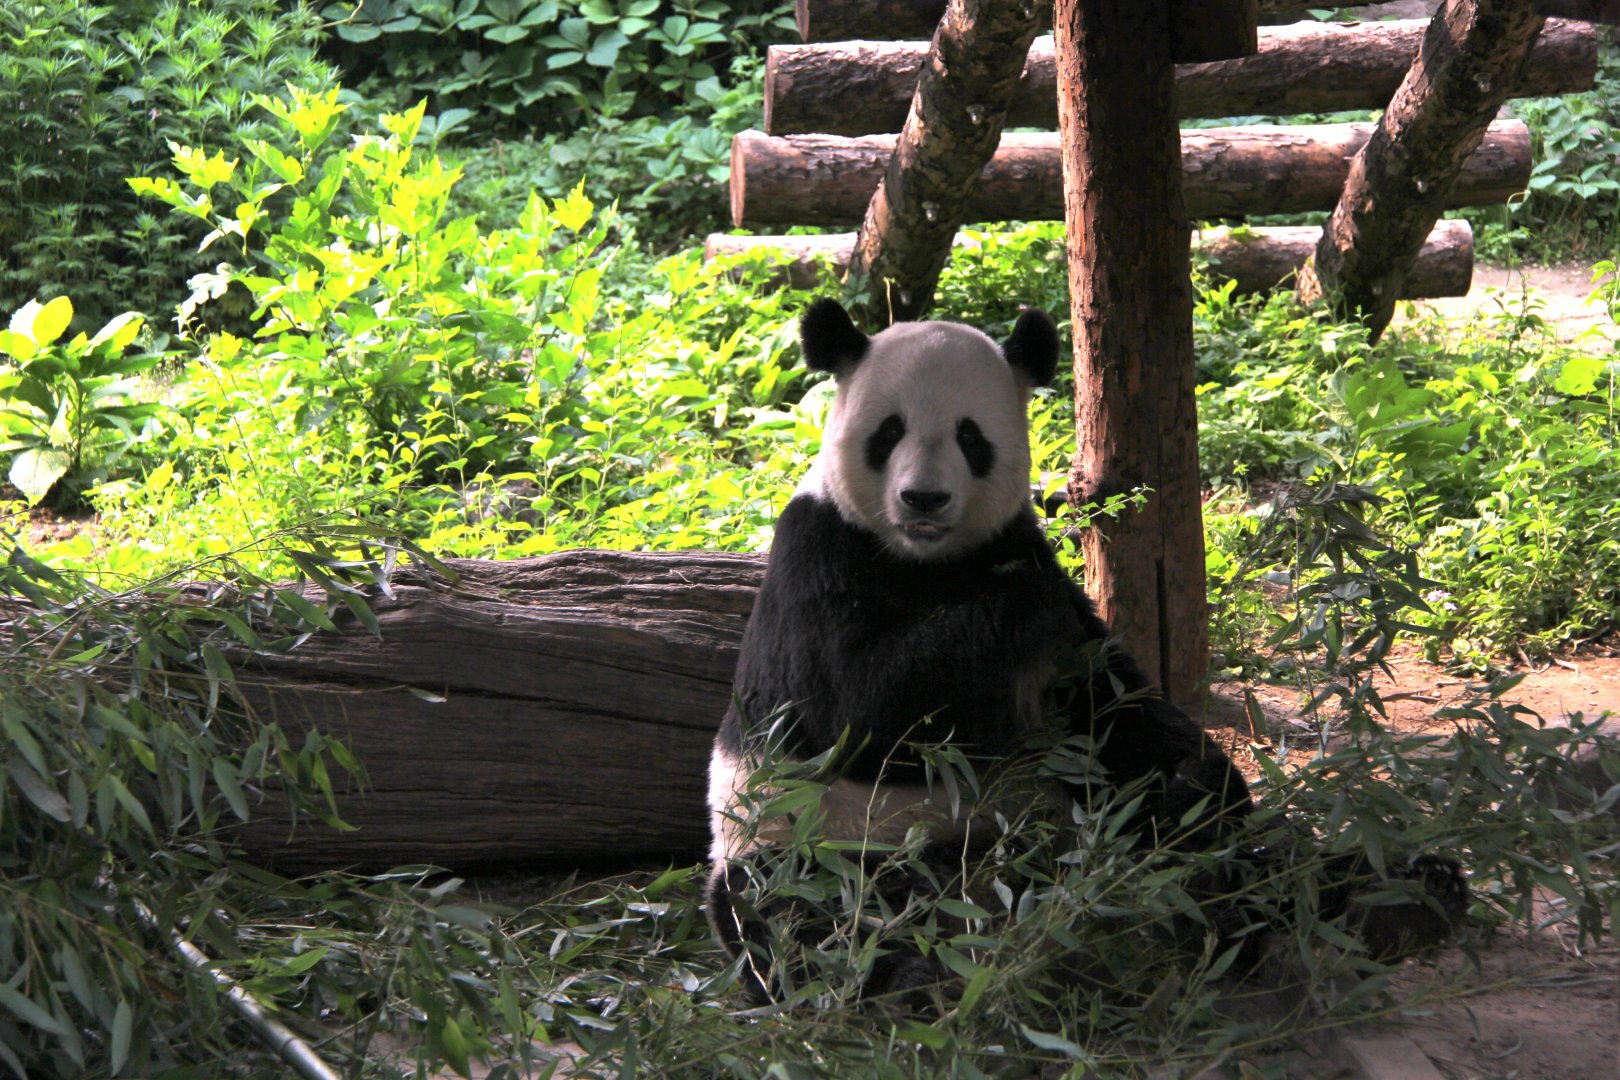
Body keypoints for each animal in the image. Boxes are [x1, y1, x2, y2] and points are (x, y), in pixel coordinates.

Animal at [704, 298, 1461, 1002]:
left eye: (970, 436)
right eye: (888, 432)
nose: (924, 498)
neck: (928, 563)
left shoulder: (1017, 552)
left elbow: (1115, 709)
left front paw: (1201, 784)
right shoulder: (819, 556)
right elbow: (855, 711)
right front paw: (1011, 613)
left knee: (1247, 861)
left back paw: (1390, 900)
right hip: (817, 843)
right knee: (797, 912)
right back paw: (917, 977)